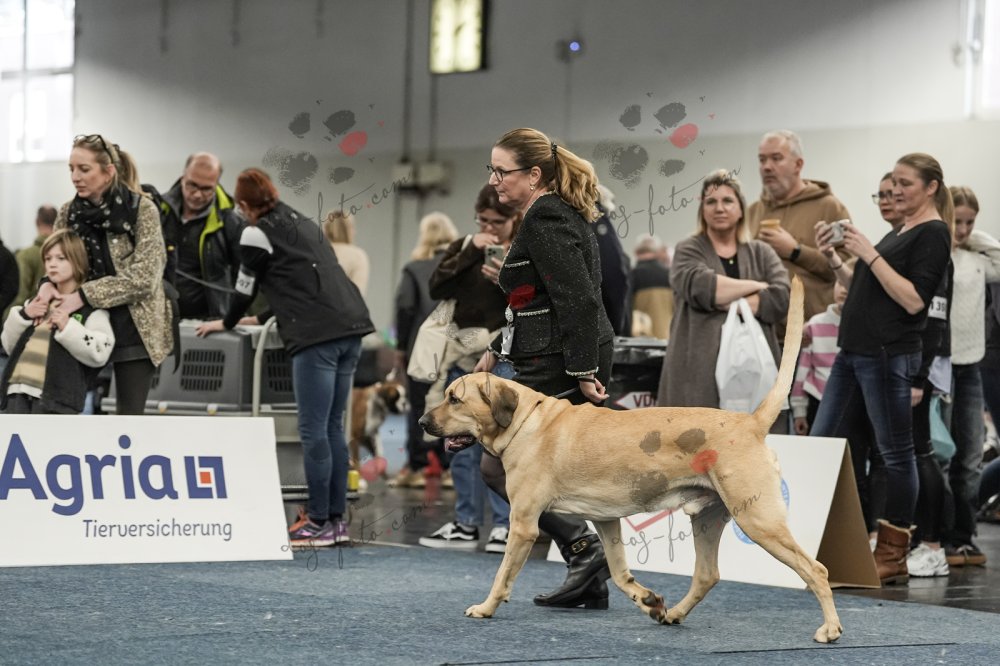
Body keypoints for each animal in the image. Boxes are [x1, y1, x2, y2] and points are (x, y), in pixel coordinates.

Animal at [419, 277, 843, 644]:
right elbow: (621, 573)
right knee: (707, 575)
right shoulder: (606, 520)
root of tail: (751, 421)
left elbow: (503, 575)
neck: (526, 418)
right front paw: (650, 601)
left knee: (816, 569)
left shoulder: (523, 523)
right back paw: (674, 614)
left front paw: (485, 607)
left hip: (758, 520)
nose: (422, 421)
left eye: (454, 398)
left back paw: (830, 629)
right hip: (707, 519)